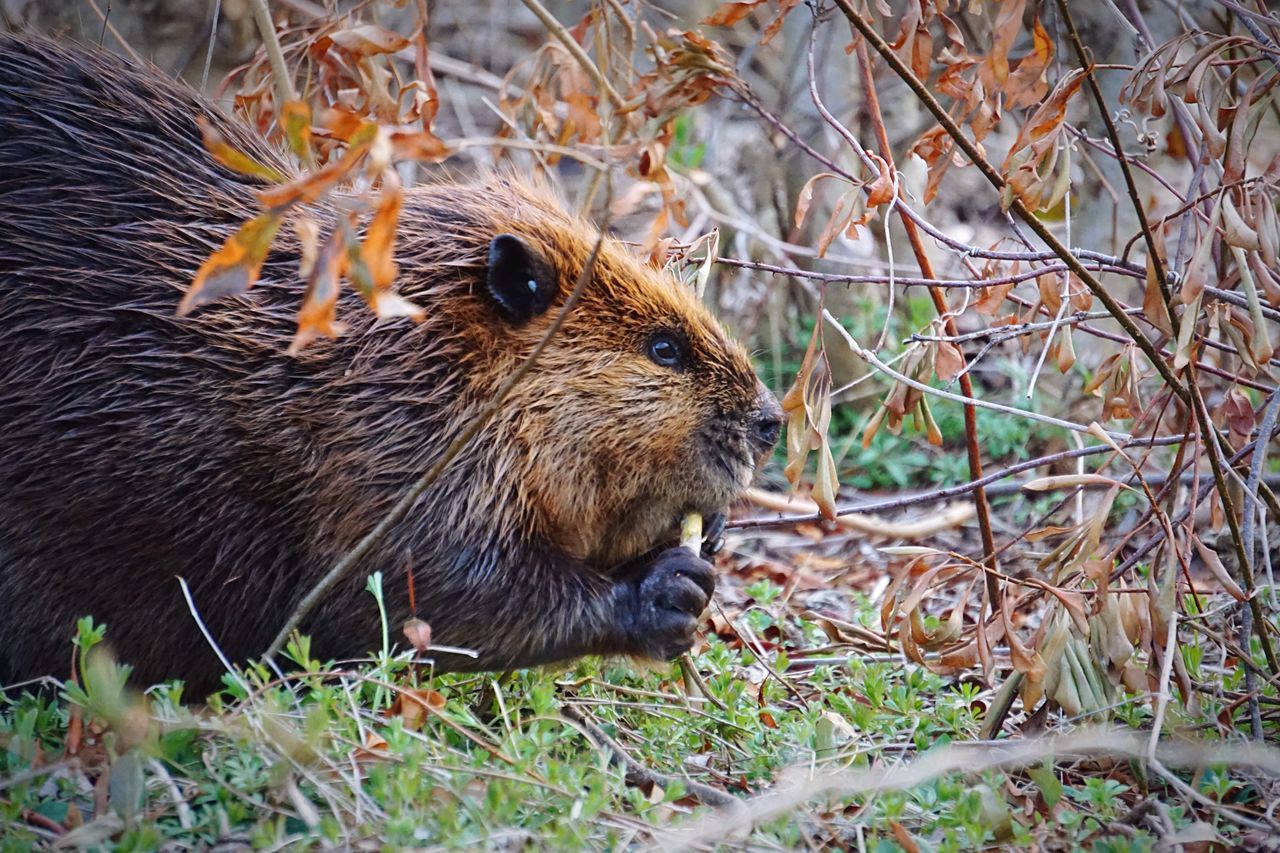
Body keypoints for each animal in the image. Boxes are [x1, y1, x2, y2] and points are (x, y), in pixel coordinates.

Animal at [0, 36, 778, 696]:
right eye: (665, 348)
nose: (770, 420)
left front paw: (706, 542)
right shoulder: (385, 448)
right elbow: (422, 587)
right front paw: (668, 589)